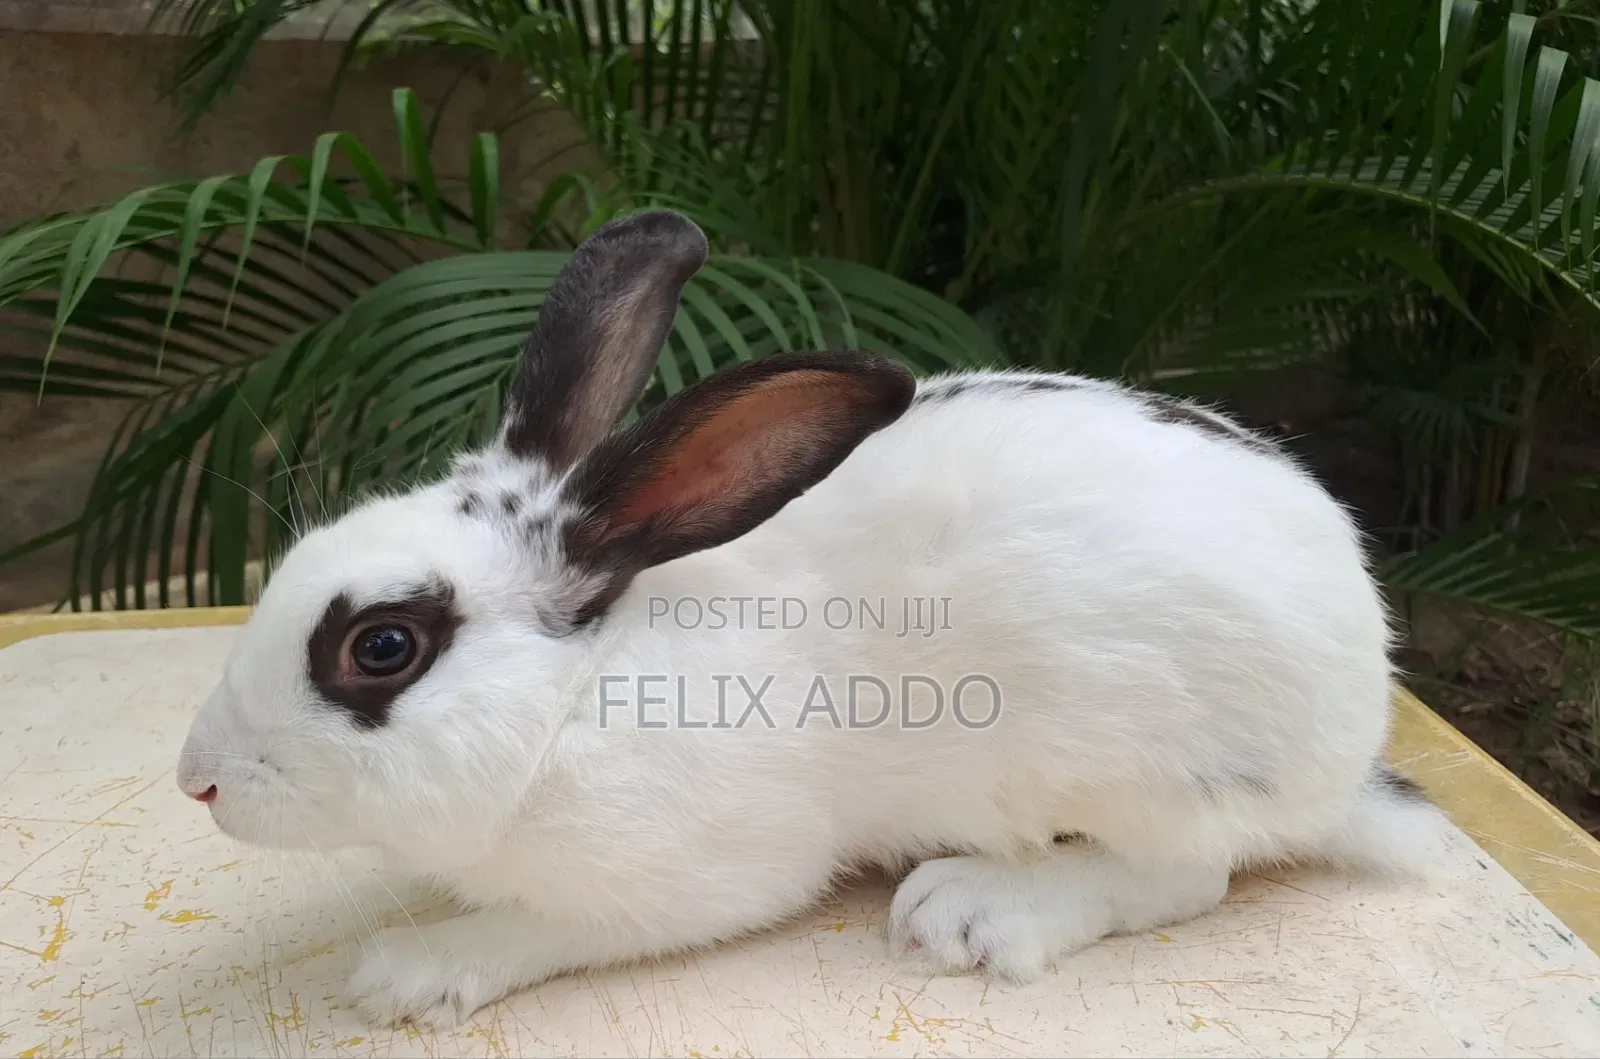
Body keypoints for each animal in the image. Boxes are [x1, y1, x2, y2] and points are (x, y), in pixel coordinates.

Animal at [176, 208, 1446, 1032]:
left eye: (381, 646)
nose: (196, 780)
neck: (570, 702)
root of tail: (1349, 750)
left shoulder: (691, 878)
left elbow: (540, 931)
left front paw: (408, 971)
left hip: (1137, 773)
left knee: (1189, 879)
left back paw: (973, 909)